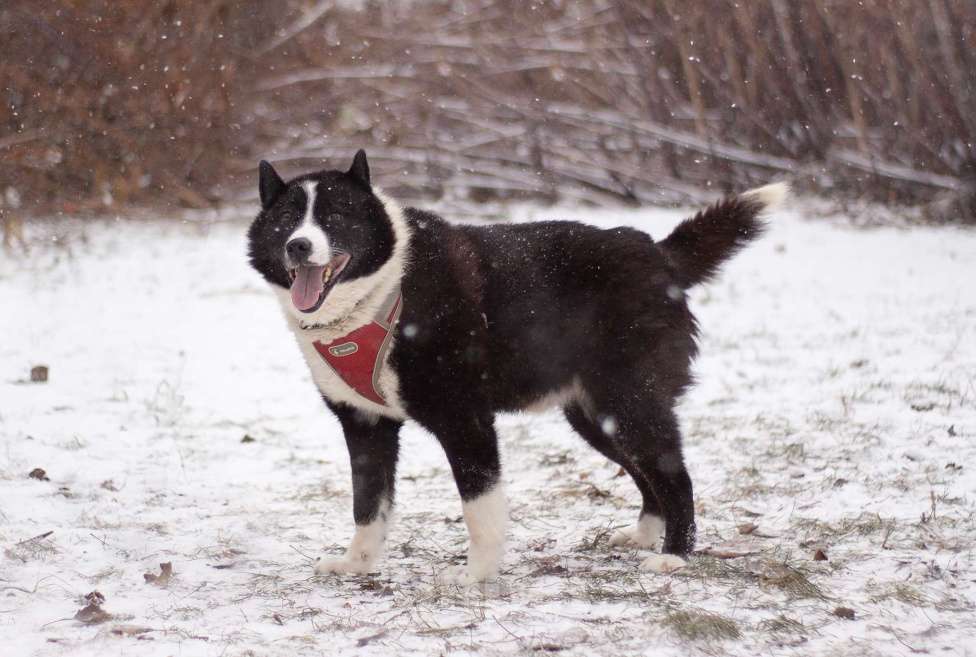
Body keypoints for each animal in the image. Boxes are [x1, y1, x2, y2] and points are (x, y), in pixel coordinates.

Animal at [250, 152, 784, 584]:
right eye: (287, 220)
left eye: (336, 216)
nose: (299, 245)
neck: (385, 289)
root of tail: (657, 253)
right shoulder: (365, 425)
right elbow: (368, 506)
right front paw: (357, 565)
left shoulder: (465, 420)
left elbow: (479, 510)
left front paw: (476, 576)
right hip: (597, 416)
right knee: (646, 472)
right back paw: (645, 536)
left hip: (630, 402)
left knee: (675, 475)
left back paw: (675, 556)